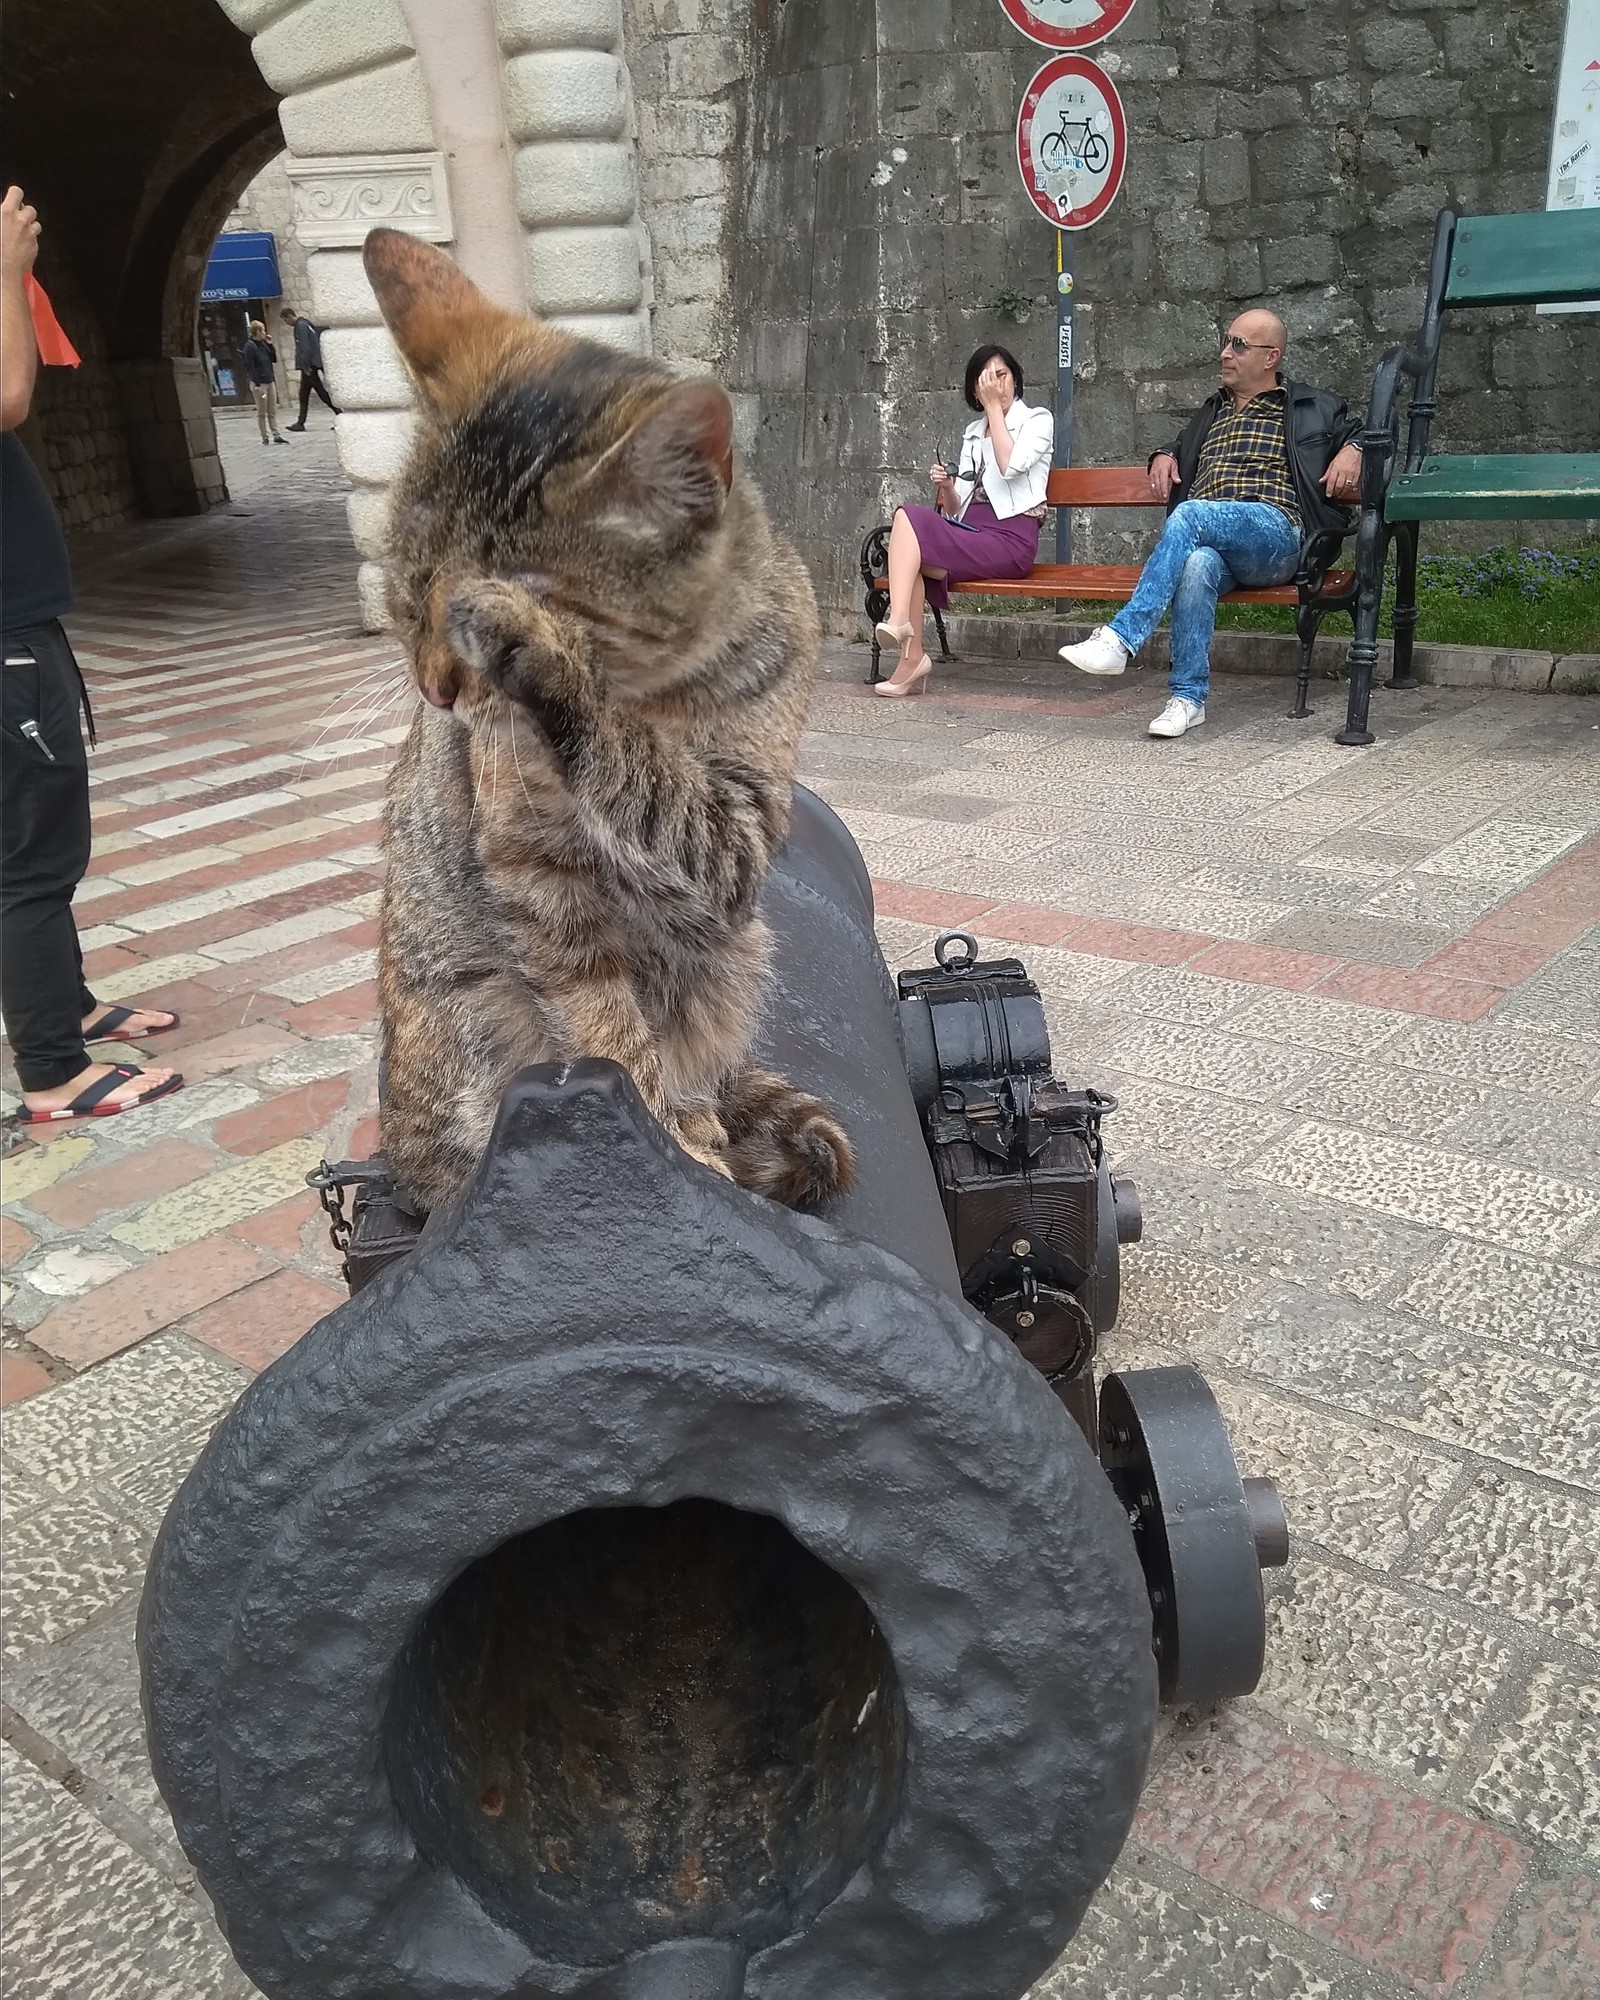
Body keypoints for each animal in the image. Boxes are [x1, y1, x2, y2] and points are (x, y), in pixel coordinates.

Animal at [362, 227, 856, 1208]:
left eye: (462, 614)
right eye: (405, 594)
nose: (437, 691)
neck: (656, 692)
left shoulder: (739, 832)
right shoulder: (537, 879)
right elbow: (608, 1032)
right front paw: (663, 1142)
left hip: (735, 958)